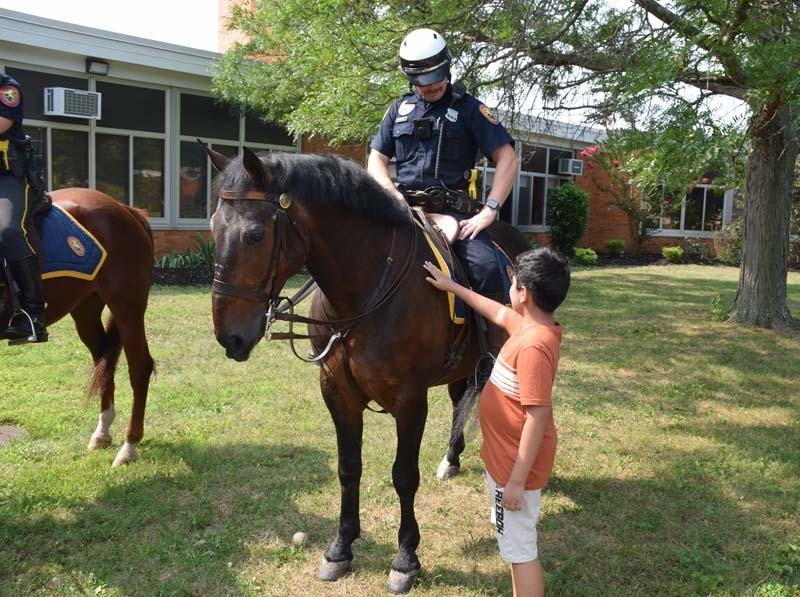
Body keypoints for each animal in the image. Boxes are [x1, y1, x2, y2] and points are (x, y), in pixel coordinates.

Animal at [0, 189, 155, 468]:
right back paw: (102, 433)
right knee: (104, 362)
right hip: (86, 309)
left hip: (128, 308)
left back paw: (129, 447)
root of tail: (125, 209)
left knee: (139, 368)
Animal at [208, 148, 532, 592]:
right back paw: (451, 459)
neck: (365, 290)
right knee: (458, 403)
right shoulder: (337, 393)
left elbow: (404, 475)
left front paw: (405, 558)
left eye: (254, 234)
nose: (230, 336)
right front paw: (340, 548)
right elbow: (348, 469)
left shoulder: (410, 399)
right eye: (213, 227)